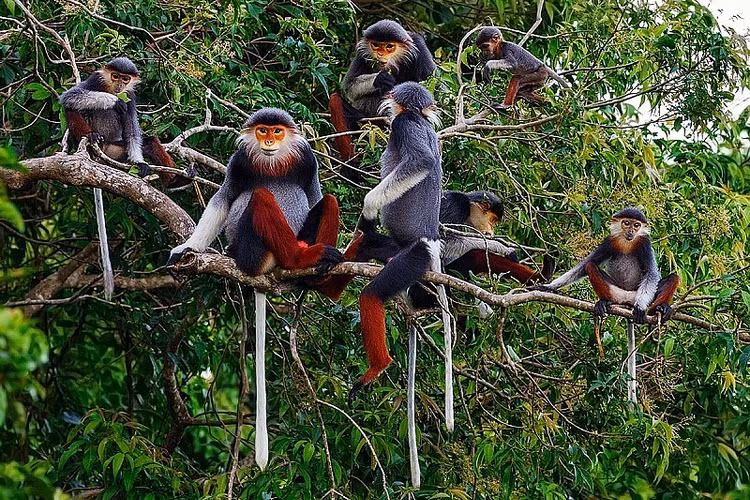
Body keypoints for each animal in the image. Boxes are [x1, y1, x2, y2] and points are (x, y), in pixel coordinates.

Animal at [60, 57, 193, 190]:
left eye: (125, 79)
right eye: (115, 76)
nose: (119, 85)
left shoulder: (130, 95)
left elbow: (131, 132)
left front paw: (140, 163)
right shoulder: (96, 78)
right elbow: (69, 95)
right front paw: (116, 101)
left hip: (115, 151)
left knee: (151, 142)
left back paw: (175, 182)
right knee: (70, 108)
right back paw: (91, 136)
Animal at [167, 108, 344, 470]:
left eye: (276, 131)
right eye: (262, 131)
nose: (270, 142)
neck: (272, 163)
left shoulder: (306, 160)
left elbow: (317, 195)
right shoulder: (239, 162)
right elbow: (223, 201)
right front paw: (188, 248)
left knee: (329, 201)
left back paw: (316, 275)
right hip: (254, 252)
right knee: (261, 196)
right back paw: (300, 257)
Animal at [329, 20, 436, 180]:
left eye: (389, 46)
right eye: (376, 44)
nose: (379, 54)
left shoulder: (419, 47)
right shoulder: (361, 53)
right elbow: (349, 86)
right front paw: (380, 79)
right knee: (335, 100)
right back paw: (350, 167)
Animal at [534, 207, 678, 360]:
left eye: (636, 225)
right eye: (626, 223)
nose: (631, 231)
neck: (627, 243)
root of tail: (628, 300)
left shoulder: (644, 243)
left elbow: (651, 274)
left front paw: (640, 307)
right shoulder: (609, 241)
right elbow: (584, 266)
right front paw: (548, 287)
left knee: (674, 277)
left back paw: (659, 309)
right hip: (616, 292)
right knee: (590, 266)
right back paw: (605, 302)